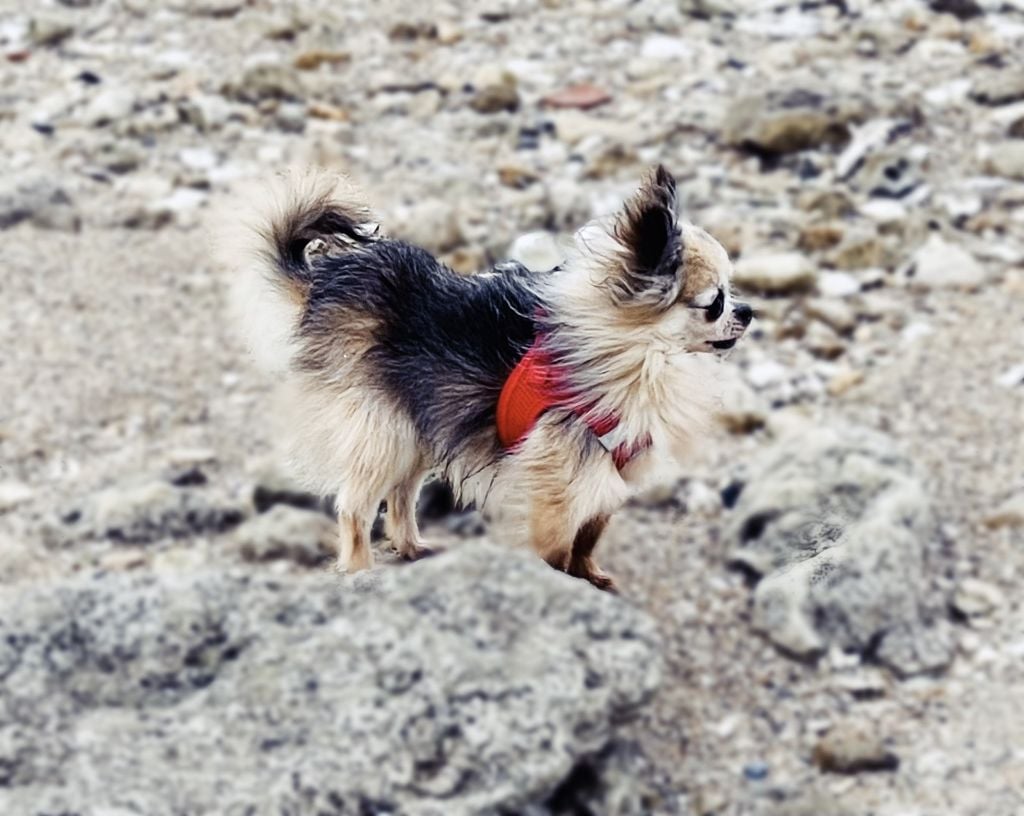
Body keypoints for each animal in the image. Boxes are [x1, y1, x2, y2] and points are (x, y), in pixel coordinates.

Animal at [221, 165, 752, 590]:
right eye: (714, 303)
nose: (748, 311)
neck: (642, 355)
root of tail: (324, 283)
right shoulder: (559, 486)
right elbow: (557, 547)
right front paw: (560, 582)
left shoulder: (606, 479)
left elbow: (588, 538)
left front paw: (591, 577)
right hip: (385, 431)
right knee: (355, 505)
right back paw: (359, 569)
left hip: (418, 428)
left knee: (400, 495)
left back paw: (411, 547)